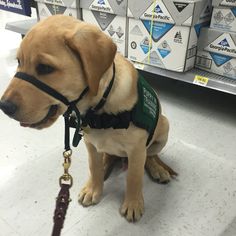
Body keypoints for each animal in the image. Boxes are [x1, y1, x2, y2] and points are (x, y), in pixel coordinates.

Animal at [0, 15, 176, 222]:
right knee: (108, 157)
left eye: (45, 68)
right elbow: (94, 166)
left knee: (150, 155)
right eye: (19, 61)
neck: (99, 109)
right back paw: (106, 166)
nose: (4, 106)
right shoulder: (90, 144)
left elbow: (134, 177)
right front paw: (94, 188)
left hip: (163, 126)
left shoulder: (136, 149)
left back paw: (157, 169)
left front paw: (133, 203)